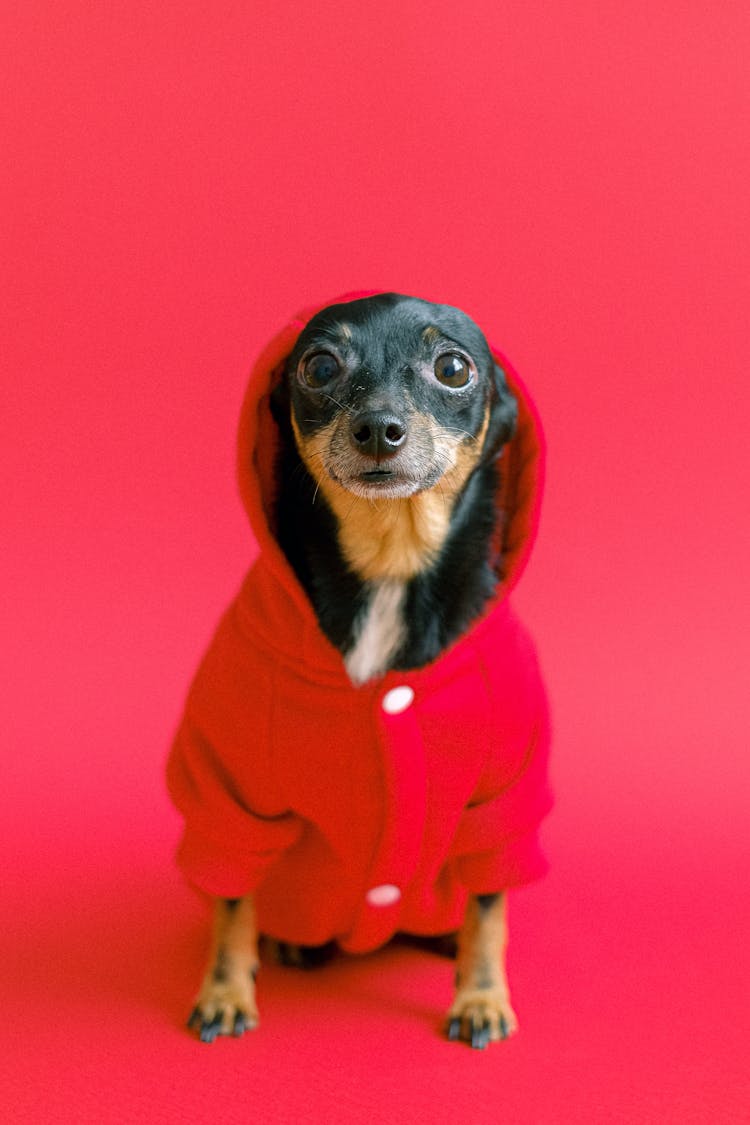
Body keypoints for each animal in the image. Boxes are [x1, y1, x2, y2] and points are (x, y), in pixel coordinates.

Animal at [172, 290, 557, 1044]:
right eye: (320, 366)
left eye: (454, 368)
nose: (379, 428)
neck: (389, 560)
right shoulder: (228, 796)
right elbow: (232, 901)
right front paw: (225, 989)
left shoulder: (503, 797)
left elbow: (490, 907)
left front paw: (480, 997)